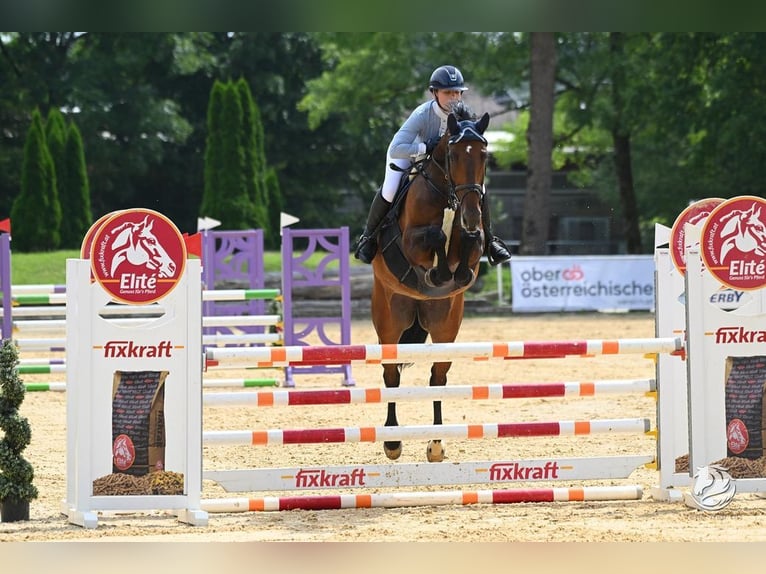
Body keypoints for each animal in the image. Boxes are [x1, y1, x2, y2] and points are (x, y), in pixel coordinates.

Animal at [372, 109, 492, 464]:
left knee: (438, 377)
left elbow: (470, 244)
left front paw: (455, 270)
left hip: (444, 324)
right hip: (391, 319)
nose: (470, 215)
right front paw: (438, 273)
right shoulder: (410, 241)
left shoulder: (474, 242)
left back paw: (436, 443)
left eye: (485, 155)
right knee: (391, 375)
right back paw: (393, 442)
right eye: (453, 155)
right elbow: (436, 235)